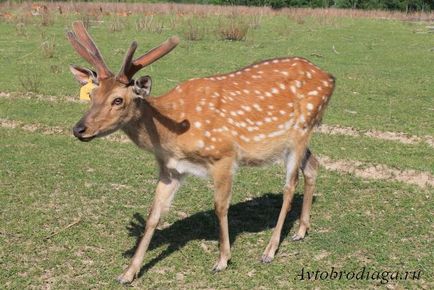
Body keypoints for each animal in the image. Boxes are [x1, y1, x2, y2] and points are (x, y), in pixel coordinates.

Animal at [66, 21, 334, 284]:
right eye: (92, 94)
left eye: (118, 100)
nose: (79, 129)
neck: (170, 134)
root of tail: (330, 78)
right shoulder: (170, 169)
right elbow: (154, 214)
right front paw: (128, 273)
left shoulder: (224, 155)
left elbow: (220, 206)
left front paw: (222, 260)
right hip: (293, 140)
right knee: (313, 165)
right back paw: (301, 231)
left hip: (301, 130)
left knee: (289, 186)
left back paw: (269, 250)